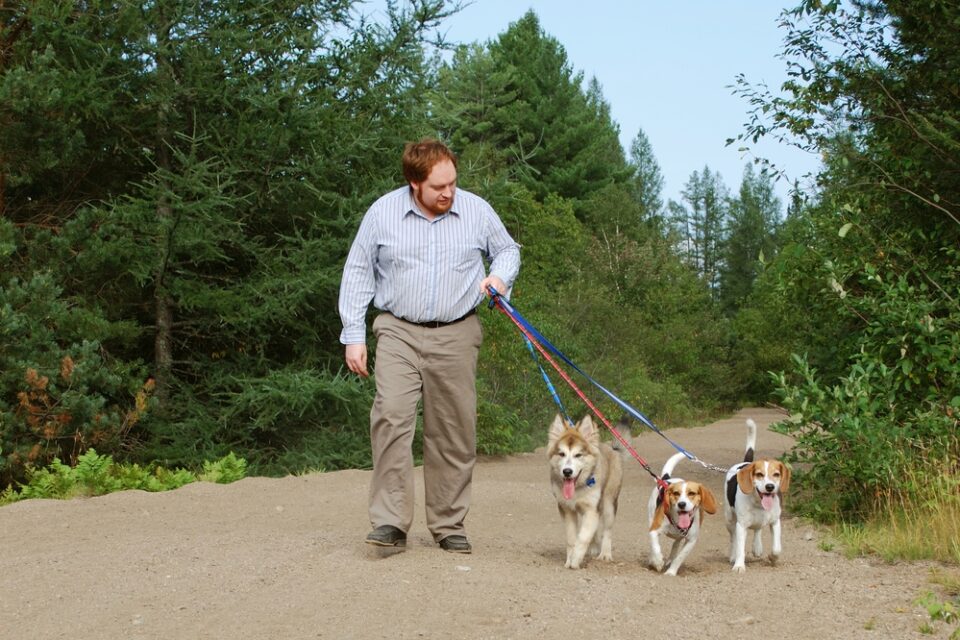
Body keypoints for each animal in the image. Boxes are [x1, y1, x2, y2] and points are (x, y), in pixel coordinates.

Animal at [548, 416, 624, 568]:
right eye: (561, 454)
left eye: (578, 455)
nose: (567, 471)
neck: (577, 488)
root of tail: (611, 447)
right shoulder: (566, 509)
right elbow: (571, 538)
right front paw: (569, 560)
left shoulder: (592, 509)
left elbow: (583, 537)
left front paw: (576, 559)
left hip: (609, 502)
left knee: (607, 530)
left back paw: (605, 554)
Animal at [724, 418, 792, 572]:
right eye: (759, 474)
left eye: (776, 474)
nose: (769, 487)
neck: (758, 503)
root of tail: (746, 462)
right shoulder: (741, 525)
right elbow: (740, 547)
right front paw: (739, 565)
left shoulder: (775, 522)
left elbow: (777, 548)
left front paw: (773, 557)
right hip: (729, 519)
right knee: (733, 537)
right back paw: (733, 555)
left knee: (757, 529)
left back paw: (757, 547)